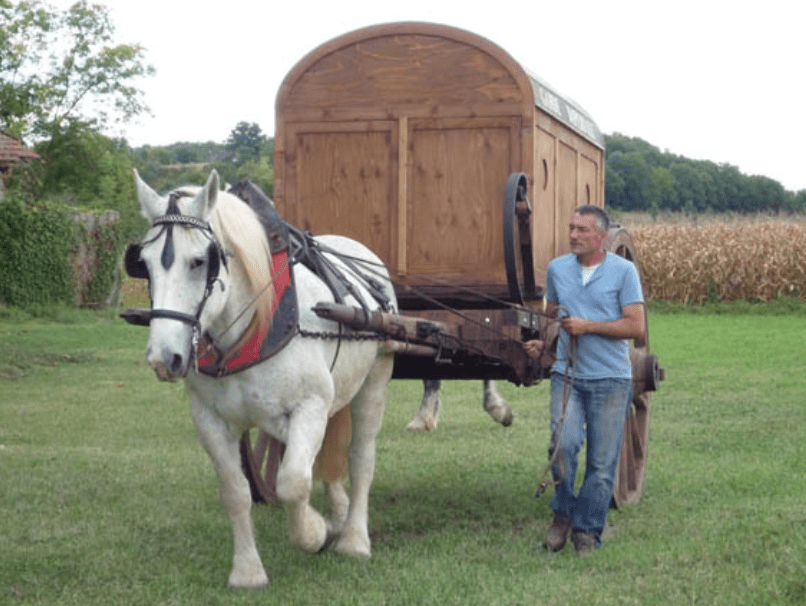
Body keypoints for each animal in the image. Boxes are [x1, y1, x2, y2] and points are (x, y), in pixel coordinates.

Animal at [126, 170, 394, 588]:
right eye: (144, 264)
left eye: (199, 261)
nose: (163, 358)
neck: (255, 323)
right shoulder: (209, 420)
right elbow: (235, 492)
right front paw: (248, 570)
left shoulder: (311, 406)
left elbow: (293, 482)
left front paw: (313, 533)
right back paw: (338, 512)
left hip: (374, 379)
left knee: (360, 456)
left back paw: (353, 538)